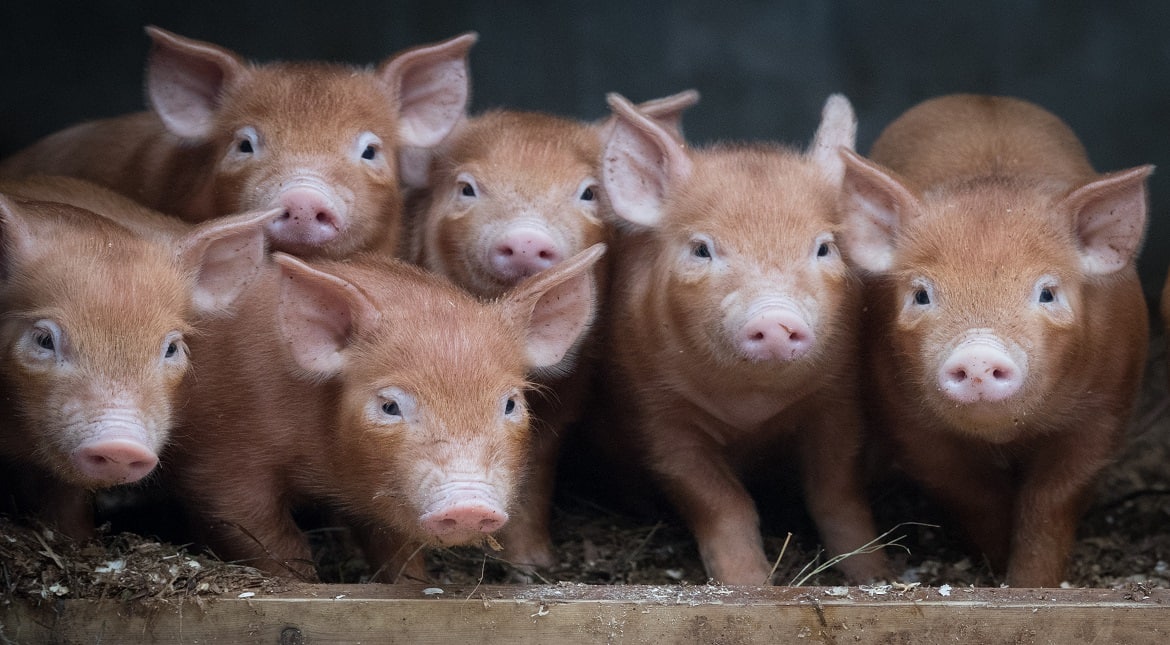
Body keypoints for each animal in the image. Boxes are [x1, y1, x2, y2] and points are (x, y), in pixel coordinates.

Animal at [164, 243, 604, 582]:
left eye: (511, 403)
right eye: (390, 405)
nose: (469, 507)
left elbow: (395, 548)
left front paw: (414, 583)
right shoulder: (222, 463)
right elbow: (274, 540)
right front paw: (306, 583)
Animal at [402, 90, 699, 572]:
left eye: (589, 193)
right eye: (466, 187)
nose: (526, 238)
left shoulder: (567, 397)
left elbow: (534, 472)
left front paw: (533, 565)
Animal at [594, 93, 889, 586]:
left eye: (824, 247)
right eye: (701, 249)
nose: (775, 317)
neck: (750, 407)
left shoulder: (838, 399)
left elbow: (836, 489)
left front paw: (875, 574)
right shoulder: (658, 414)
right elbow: (719, 500)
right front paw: (749, 584)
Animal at [838, 94, 1151, 587]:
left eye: (1047, 292)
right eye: (921, 294)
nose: (979, 355)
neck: (1005, 435)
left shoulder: (1107, 409)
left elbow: (1052, 500)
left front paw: (1030, 584)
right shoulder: (904, 416)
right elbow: (971, 490)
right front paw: (1002, 571)